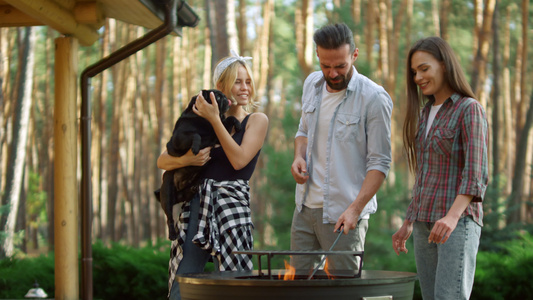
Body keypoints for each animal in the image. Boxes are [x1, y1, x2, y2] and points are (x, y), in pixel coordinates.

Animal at [154, 88, 239, 239]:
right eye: (217, 97)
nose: (225, 97)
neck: (206, 120)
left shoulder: (219, 136)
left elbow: (229, 119)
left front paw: (238, 123)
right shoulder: (177, 141)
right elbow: (196, 135)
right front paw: (195, 147)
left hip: (186, 194)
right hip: (167, 194)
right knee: (169, 218)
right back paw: (172, 234)